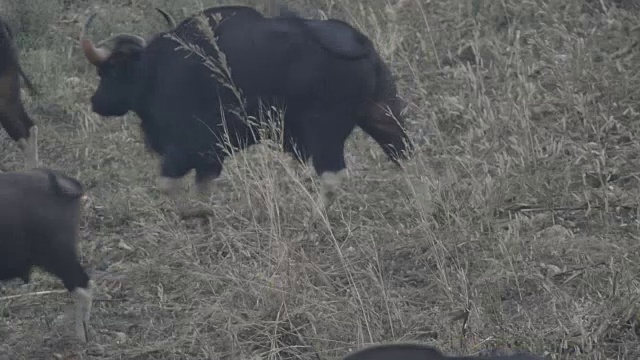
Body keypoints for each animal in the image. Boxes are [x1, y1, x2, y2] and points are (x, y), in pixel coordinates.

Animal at [80, 4, 412, 208]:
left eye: (107, 72)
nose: (96, 102)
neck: (154, 72)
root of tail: (358, 44)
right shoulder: (209, 158)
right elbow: (201, 189)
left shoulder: (189, 149)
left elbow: (168, 185)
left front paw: (190, 214)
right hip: (383, 114)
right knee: (404, 153)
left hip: (323, 133)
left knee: (333, 177)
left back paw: (316, 217)